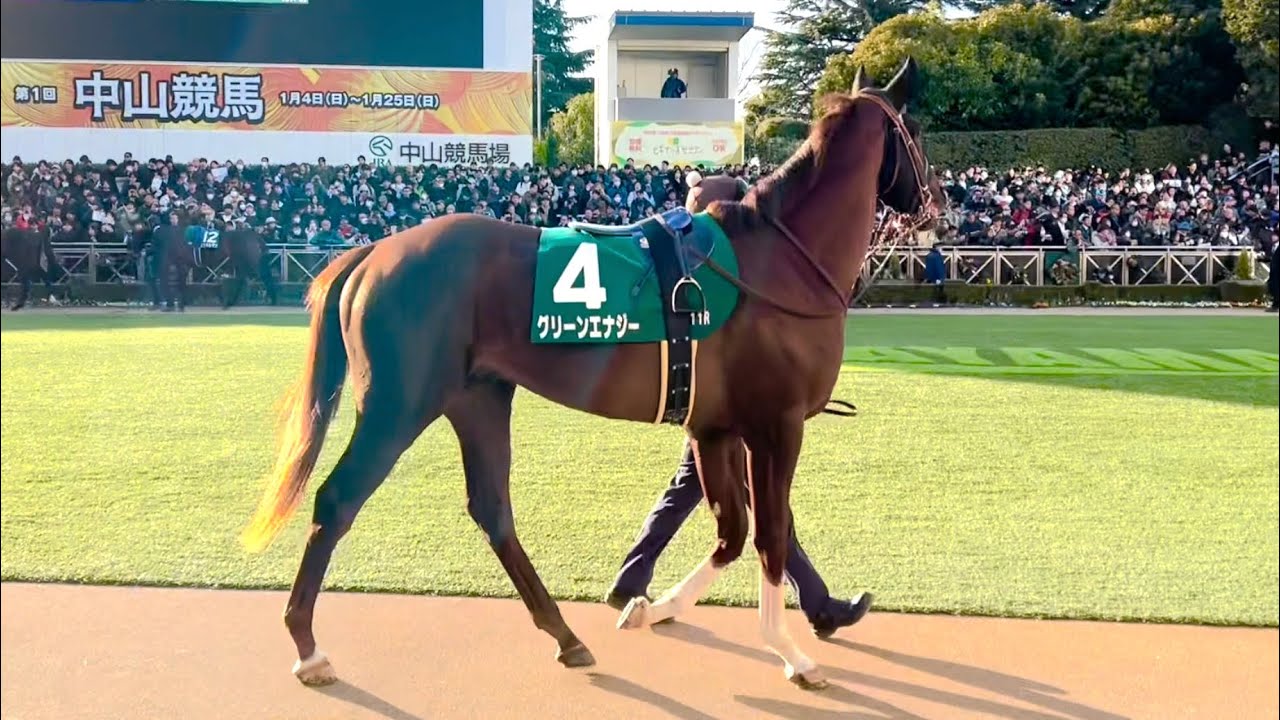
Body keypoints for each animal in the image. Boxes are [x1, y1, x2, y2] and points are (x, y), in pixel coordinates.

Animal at [149, 223, 279, 311]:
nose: (148, 248)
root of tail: (255, 236)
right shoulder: (182, 264)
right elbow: (180, 283)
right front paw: (181, 304)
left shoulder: (177, 262)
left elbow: (171, 281)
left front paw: (174, 304)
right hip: (242, 262)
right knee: (243, 279)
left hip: (251, 261)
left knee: (264, 276)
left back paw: (272, 300)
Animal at [239, 57, 943, 691]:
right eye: (919, 131)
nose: (937, 202)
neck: (779, 261)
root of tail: (372, 252)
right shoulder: (777, 425)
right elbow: (769, 533)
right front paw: (792, 654)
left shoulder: (715, 427)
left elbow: (732, 531)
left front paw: (651, 607)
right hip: (398, 403)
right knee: (339, 500)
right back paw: (308, 647)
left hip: (478, 396)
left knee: (492, 508)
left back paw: (565, 635)